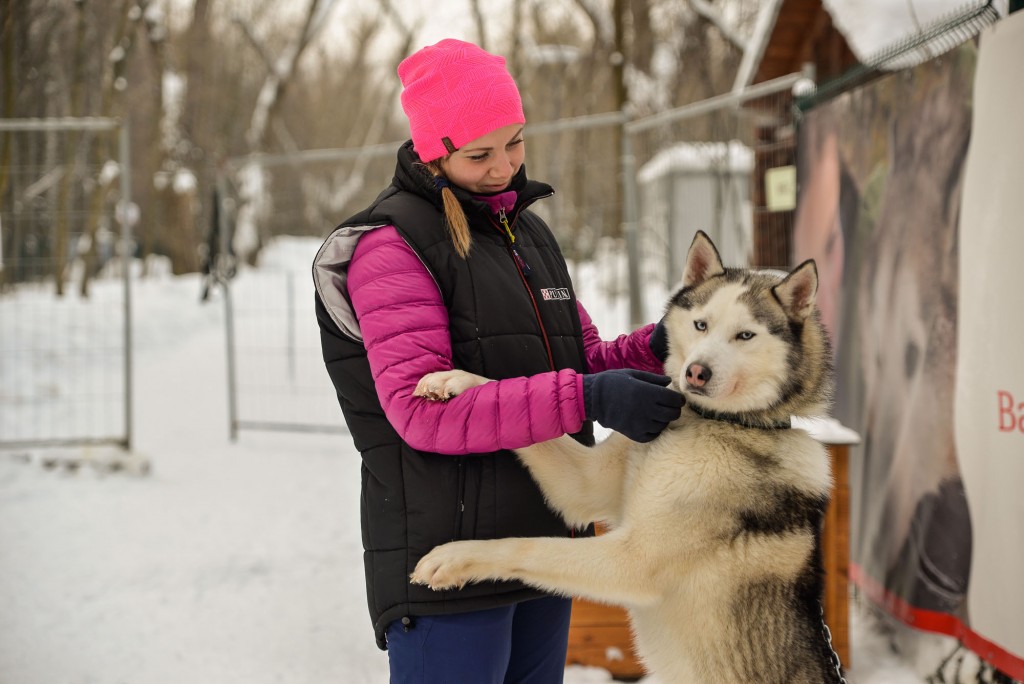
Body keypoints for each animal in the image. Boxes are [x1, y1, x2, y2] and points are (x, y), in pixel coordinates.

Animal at [411, 232, 843, 679]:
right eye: (701, 324)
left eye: (745, 336)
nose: (696, 373)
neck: (713, 421)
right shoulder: (584, 482)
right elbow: (511, 405)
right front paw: (455, 380)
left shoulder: (631, 559)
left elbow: (526, 546)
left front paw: (453, 558)